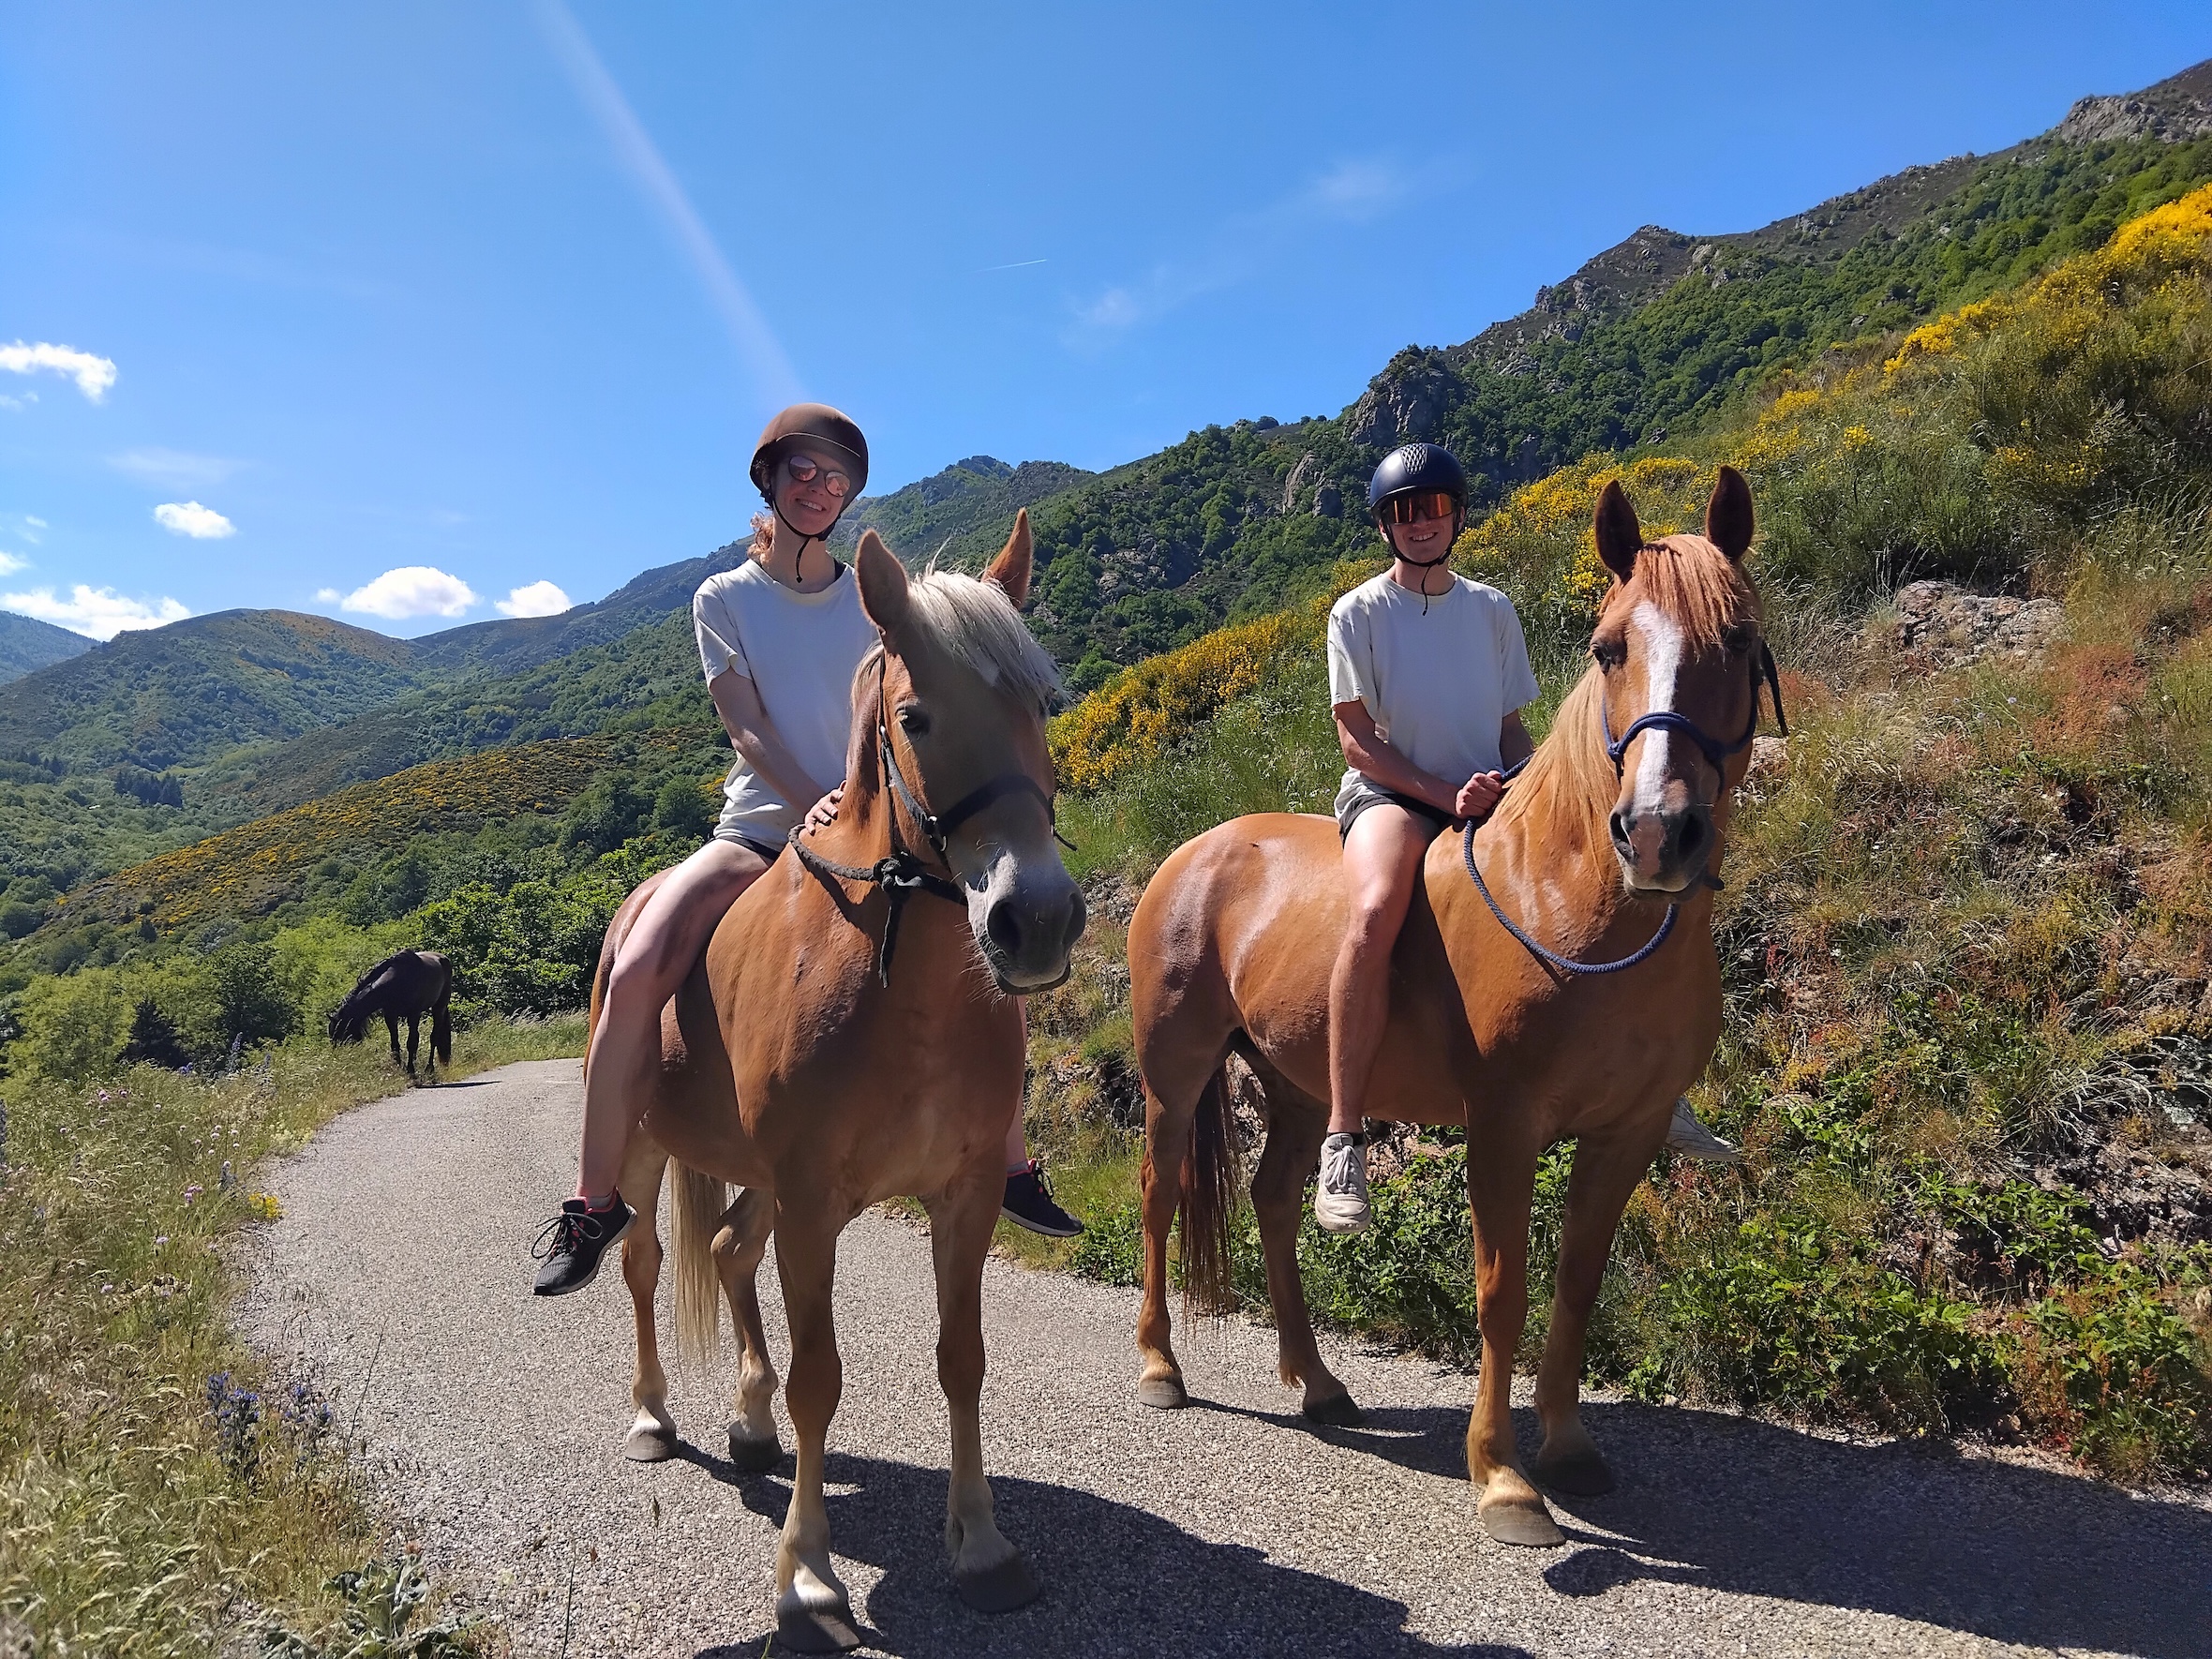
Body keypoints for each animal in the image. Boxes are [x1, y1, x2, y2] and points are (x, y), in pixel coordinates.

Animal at [327, 949, 453, 1077]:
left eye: (341, 1033)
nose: (339, 1056)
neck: (396, 983)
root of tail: (442, 958)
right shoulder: (390, 1016)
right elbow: (395, 1042)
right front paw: (397, 1065)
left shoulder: (414, 1015)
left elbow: (411, 1042)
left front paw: (410, 1070)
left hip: (439, 1007)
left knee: (434, 1037)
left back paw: (429, 1068)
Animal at [596, 515, 1084, 1652]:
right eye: (914, 715)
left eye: (1040, 706)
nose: (1035, 920)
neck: (896, 980)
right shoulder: (815, 1205)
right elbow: (822, 1379)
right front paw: (810, 1579)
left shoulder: (959, 1197)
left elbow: (962, 1357)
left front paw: (980, 1545)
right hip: (645, 1148)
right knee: (641, 1260)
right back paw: (651, 1413)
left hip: (763, 1182)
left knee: (727, 1250)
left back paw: (748, 1420)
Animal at [1125, 467, 1782, 1547]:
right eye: (1609, 646)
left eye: (1737, 637)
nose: (1656, 834)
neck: (1568, 902)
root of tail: (1195, 852)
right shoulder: (1502, 1128)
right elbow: (1501, 1293)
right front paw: (1504, 1478)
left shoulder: (1629, 1133)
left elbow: (1575, 1286)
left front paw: (1568, 1447)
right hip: (1174, 1077)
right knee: (1157, 1195)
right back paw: (1159, 1366)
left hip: (1301, 1086)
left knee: (1273, 1203)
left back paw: (1318, 1383)